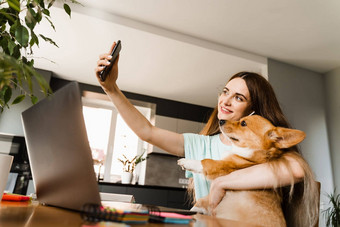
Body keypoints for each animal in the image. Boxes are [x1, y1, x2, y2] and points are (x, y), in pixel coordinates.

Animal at [178, 115, 318, 227]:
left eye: (243, 123)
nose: (221, 120)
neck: (250, 156)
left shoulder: (224, 166)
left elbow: (206, 162)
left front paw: (186, 162)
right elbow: (202, 201)